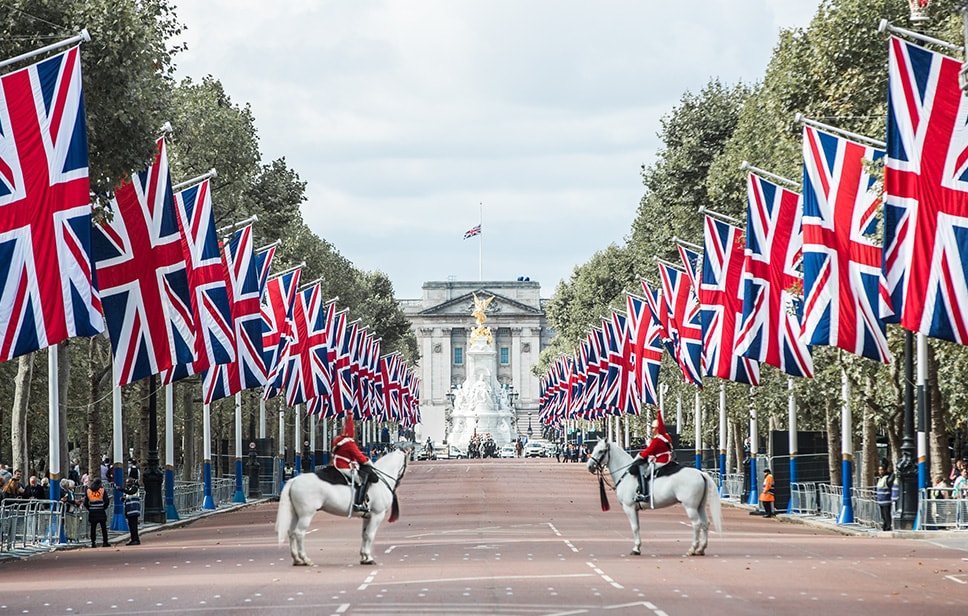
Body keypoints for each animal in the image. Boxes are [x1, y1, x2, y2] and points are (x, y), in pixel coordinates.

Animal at [276, 446, 408, 564]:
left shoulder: (367, 516)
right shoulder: (377, 515)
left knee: (291, 532)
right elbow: (370, 535)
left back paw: (297, 559)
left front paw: (364, 557)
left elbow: (365, 535)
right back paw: (305, 559)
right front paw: (369, 558)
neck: (381, 480)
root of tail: (294, 480)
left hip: (295, 514)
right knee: (299, 533)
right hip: (306, 514)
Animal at [588, 440, 724, 556]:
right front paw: (638, 547)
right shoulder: (634, 509)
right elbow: (637, 526)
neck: (626, 474)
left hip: (690, 507)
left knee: (696, 524)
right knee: (705, 523)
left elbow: (634, 527)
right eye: (594, 448)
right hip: (699, 506)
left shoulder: (629, 507)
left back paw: (692, 549)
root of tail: (701, 473)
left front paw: (636, 548)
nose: (589, 466)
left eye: (601, 451)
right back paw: (701, 549)